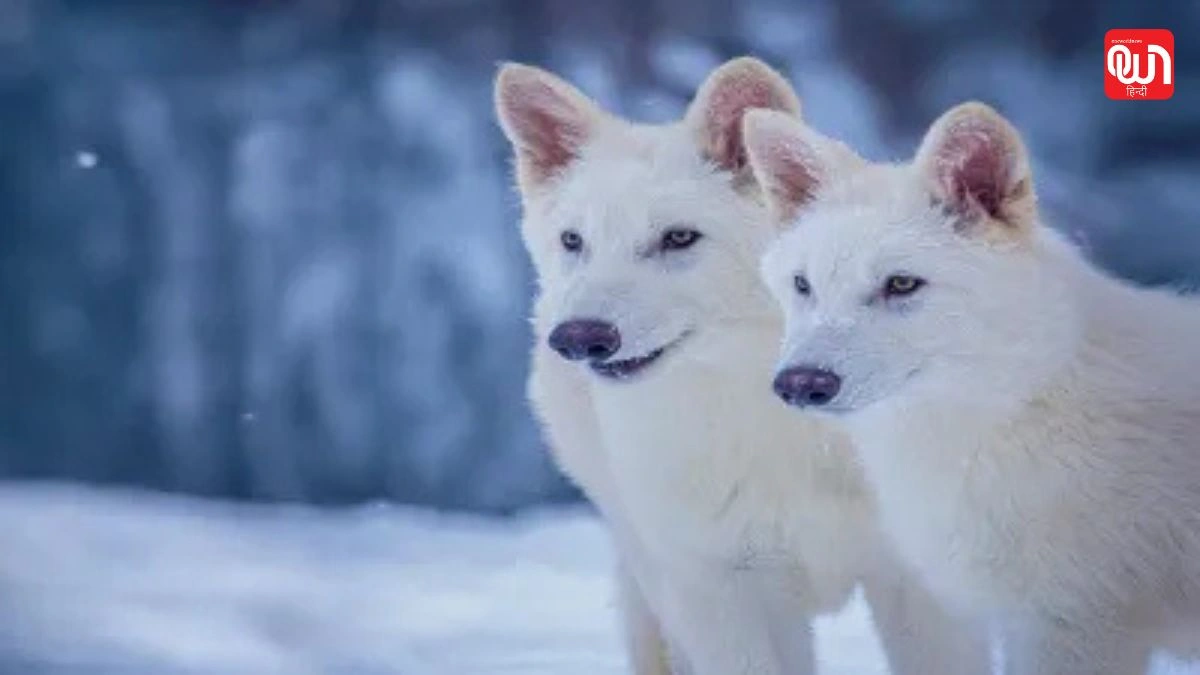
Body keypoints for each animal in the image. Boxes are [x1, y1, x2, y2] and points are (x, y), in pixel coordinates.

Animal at [494, 58, 989, 674]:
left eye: (679, 238)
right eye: (573, 241)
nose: (580, 338)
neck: (779, 426)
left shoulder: (919, 588)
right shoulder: (716, 594)